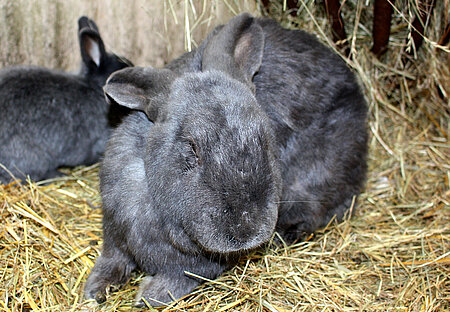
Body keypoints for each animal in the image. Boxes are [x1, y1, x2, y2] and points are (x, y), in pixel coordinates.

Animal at [85, 12, 370, 308]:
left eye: (265, 138)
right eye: (192, 148)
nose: (246, 231)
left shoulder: (196, 266)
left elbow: (179, 278)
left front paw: (148, 296)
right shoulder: (115, 234)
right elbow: (112, 261)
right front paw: (95, 289)